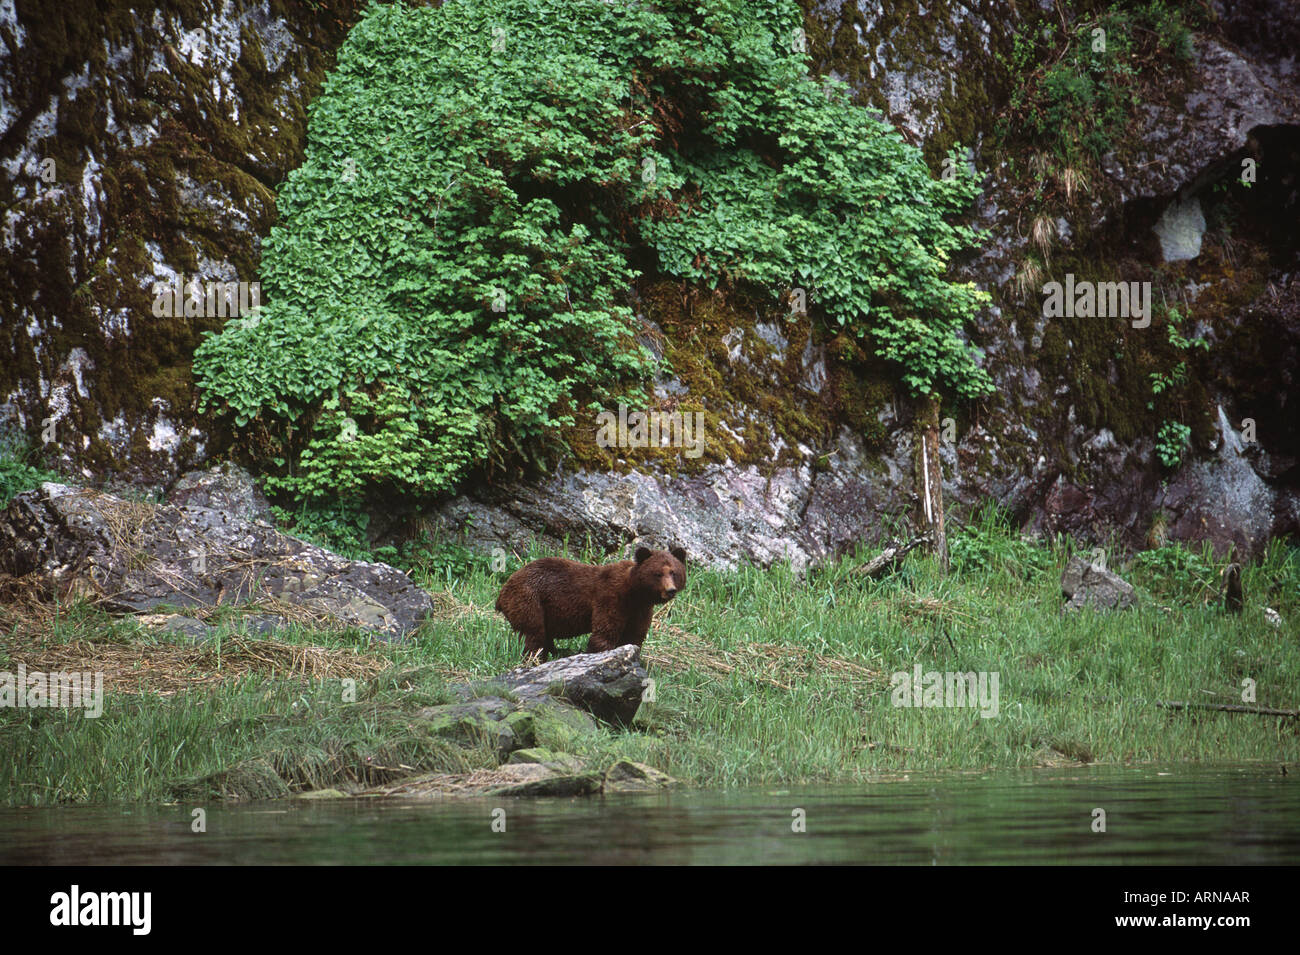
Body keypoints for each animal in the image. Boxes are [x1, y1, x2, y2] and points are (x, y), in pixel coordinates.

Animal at [495, 546, 687, 661]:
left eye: (674, 572)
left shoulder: (641, 610)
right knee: (534, 633)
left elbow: (634, 636)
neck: (635, 594)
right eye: (658, 574)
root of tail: (502, 591)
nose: (670, 590)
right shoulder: (611, 598)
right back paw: (536, 657)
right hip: (529, 598)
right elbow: (605, 632)